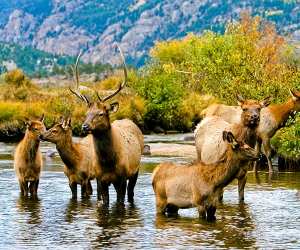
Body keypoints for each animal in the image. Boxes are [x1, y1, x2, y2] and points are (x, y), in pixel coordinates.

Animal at [70, 46, 145, 205]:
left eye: (100, 114)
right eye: (86, 113)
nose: (85, 126)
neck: (108, 162)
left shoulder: (122, 178)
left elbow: (120, 202)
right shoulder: (101, 180)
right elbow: (104, 202)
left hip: (135, 170)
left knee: (131, 193)